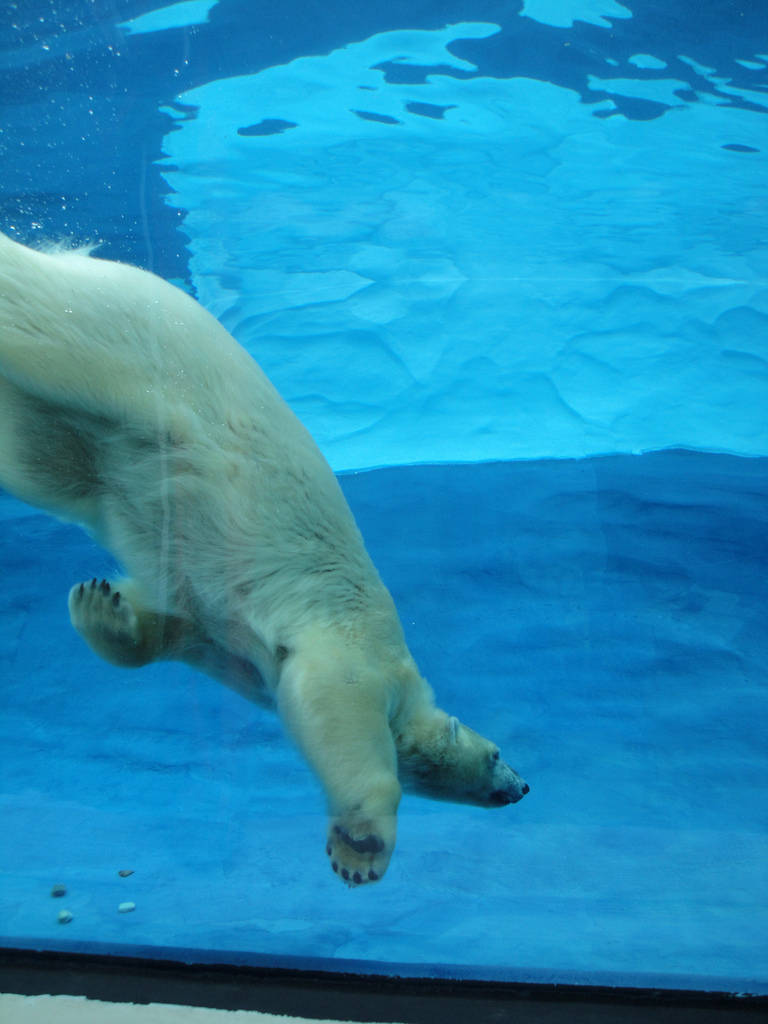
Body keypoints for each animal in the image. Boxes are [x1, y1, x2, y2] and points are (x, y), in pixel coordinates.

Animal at [0, 232, 528, 886]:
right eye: (497, 752)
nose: (523, 786)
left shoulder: (212, 630)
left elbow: (166, 629)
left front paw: (99, 602)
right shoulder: (356, 645)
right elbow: (338, 699)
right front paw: (361, 846)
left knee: (42, 458)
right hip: (120, 348)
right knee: (41, 332)